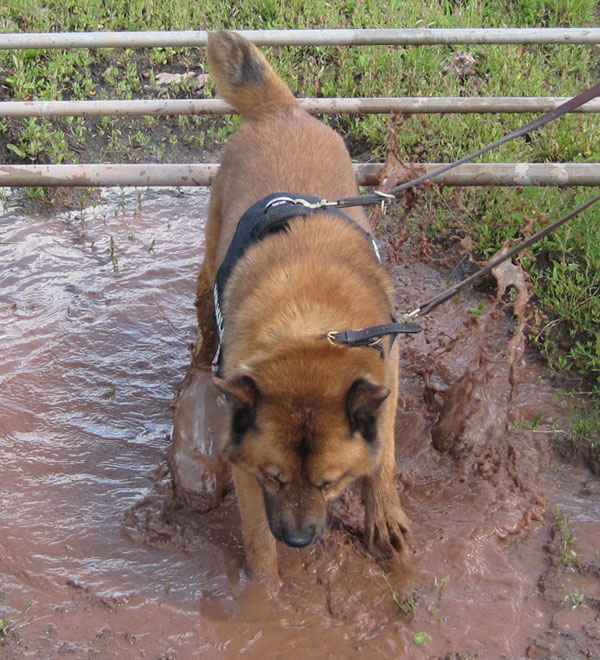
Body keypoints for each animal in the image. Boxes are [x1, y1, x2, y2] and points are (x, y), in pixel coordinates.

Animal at [195, 32, 410, 588]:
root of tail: (280, 110)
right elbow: (256, 539)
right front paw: (262, 600)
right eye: (275, 478)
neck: (310, 332)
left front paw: (382, 511)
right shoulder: (247, 466)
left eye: (329, 483)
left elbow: (383, 454)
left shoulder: (387, 372)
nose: (297, 541)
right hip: (208, 265)